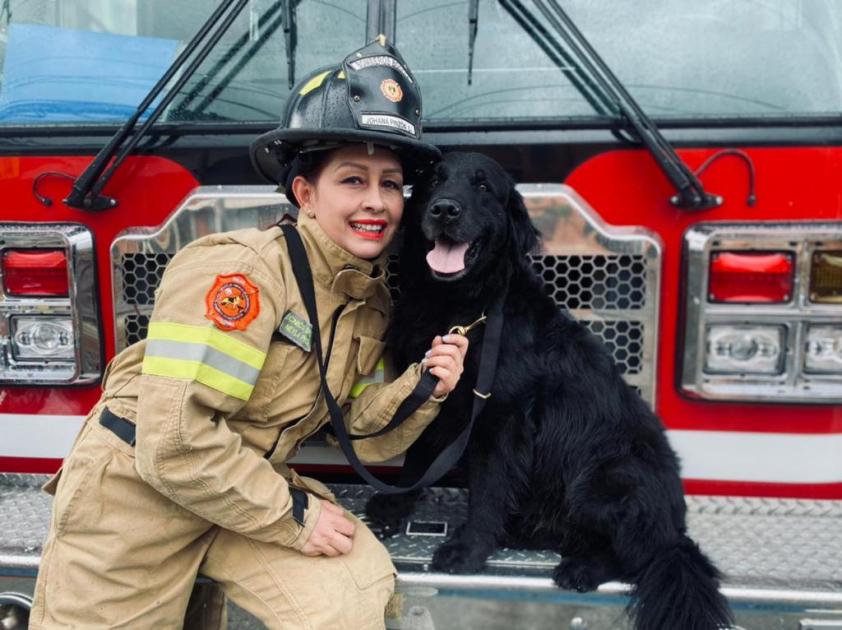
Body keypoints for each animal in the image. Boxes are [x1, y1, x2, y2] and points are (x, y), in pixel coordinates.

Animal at [364, 153, 732, 630]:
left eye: (483, 187)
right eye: (431, 181)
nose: (444, 209)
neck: (460, 305)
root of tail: (675, 529)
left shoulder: (502, 418)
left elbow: (488, 489)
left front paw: (468, 550)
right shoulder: (432, 390)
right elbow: (416, 461)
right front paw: (394, 507)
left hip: (605, 479)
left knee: (639, 555)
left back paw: (583, 568)